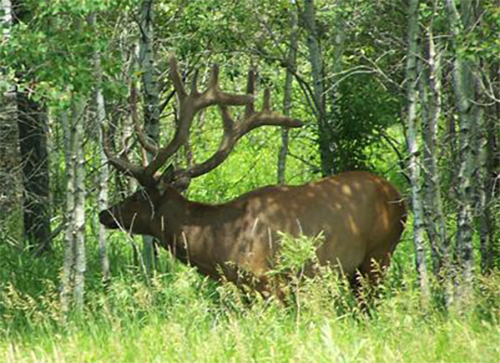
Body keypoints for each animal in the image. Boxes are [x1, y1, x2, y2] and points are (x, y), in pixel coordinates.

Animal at [98, 57, 406, 294]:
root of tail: (399, 197)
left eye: (137, 196)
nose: (104, 214)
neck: (217, 246)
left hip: (379, 252)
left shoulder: (268, 281)